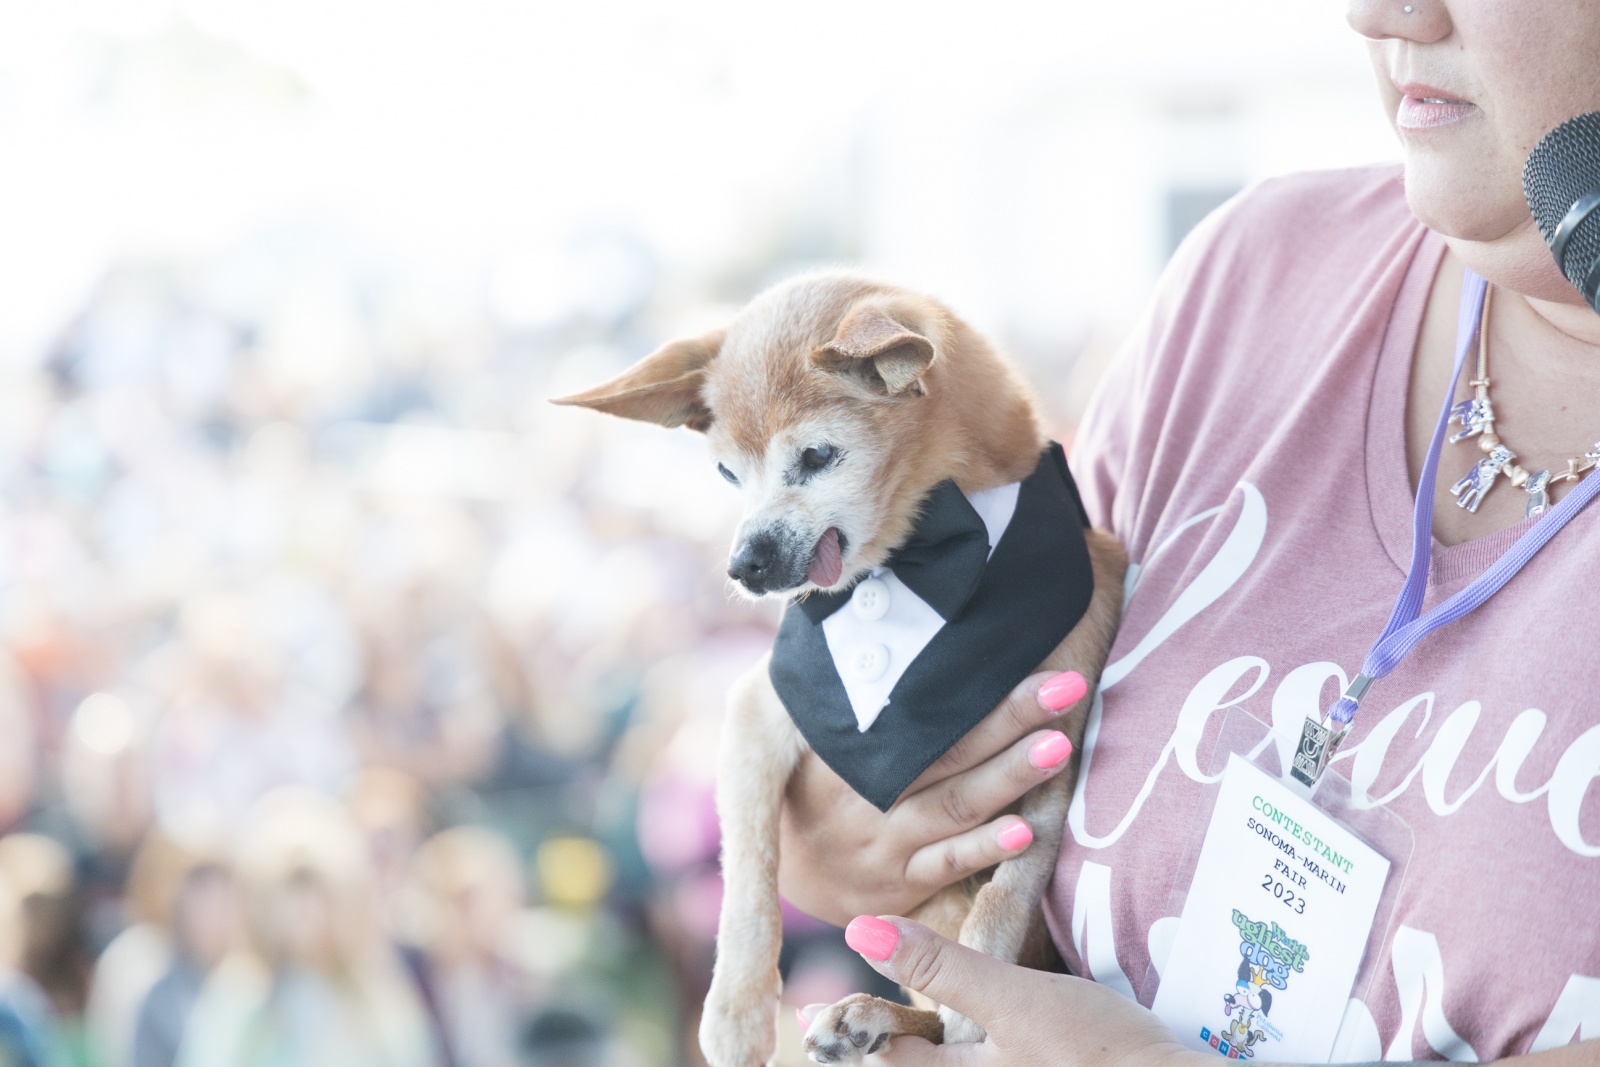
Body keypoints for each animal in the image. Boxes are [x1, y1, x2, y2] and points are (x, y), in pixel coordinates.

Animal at [550, 273, 1126, 1067]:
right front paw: (736, 1011)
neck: (919, 563)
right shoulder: (756, 719)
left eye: (818, 457)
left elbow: (1011, 882)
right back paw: (871, 1016)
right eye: (728, 473)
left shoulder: (1053, 750)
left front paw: (981, 1001)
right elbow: (749, 873)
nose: (742, 563)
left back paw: (882, 1016)